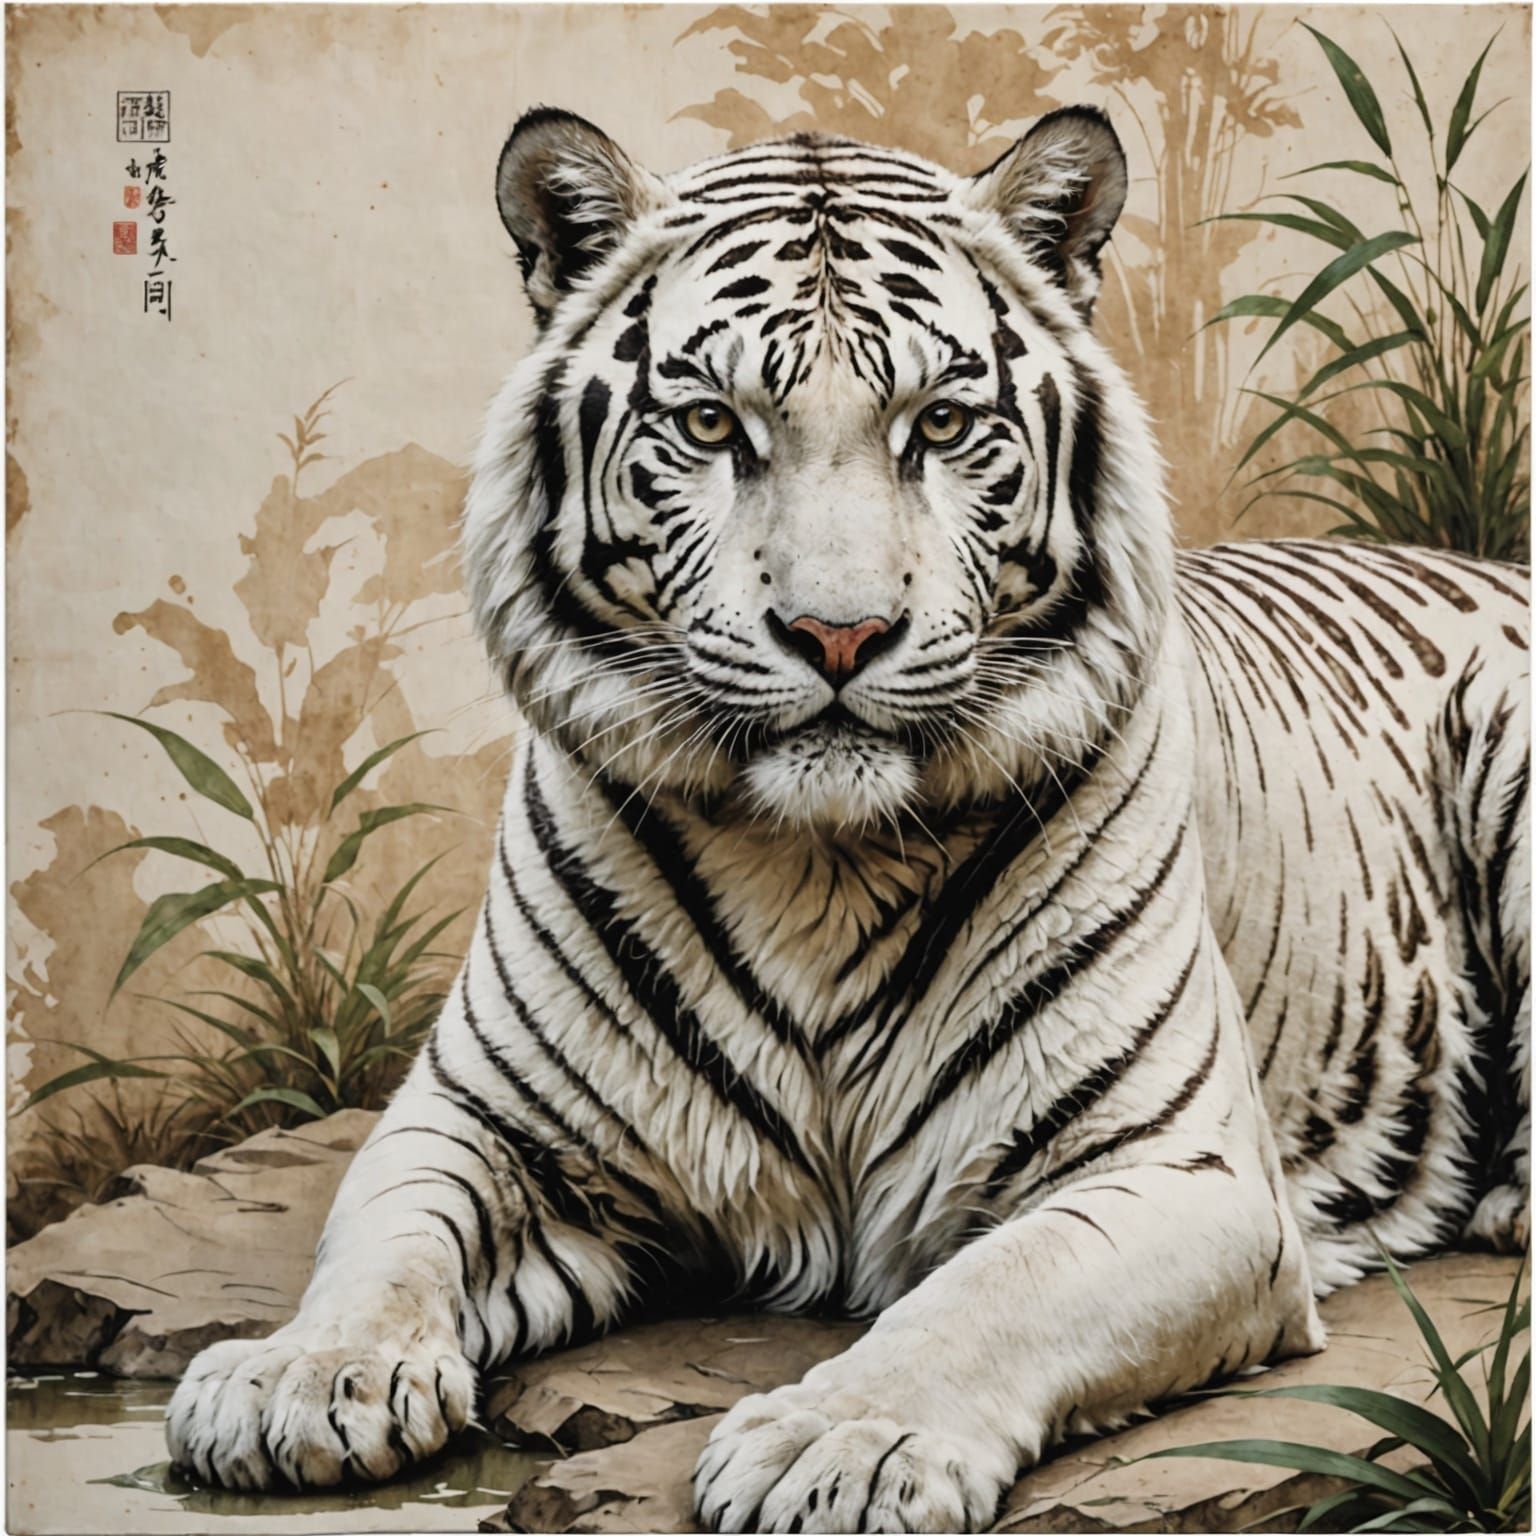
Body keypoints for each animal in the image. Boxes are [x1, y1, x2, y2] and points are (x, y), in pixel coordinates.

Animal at [166, 105, 1530, 1533]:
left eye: (942, 421)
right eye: (711, 423)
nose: (838, 633)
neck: (813, 864)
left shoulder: (1176, 1169)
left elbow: (989, 1293)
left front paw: (840, 1444)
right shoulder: (488, 1116)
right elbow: (384, 1229)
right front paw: (301, 1377)